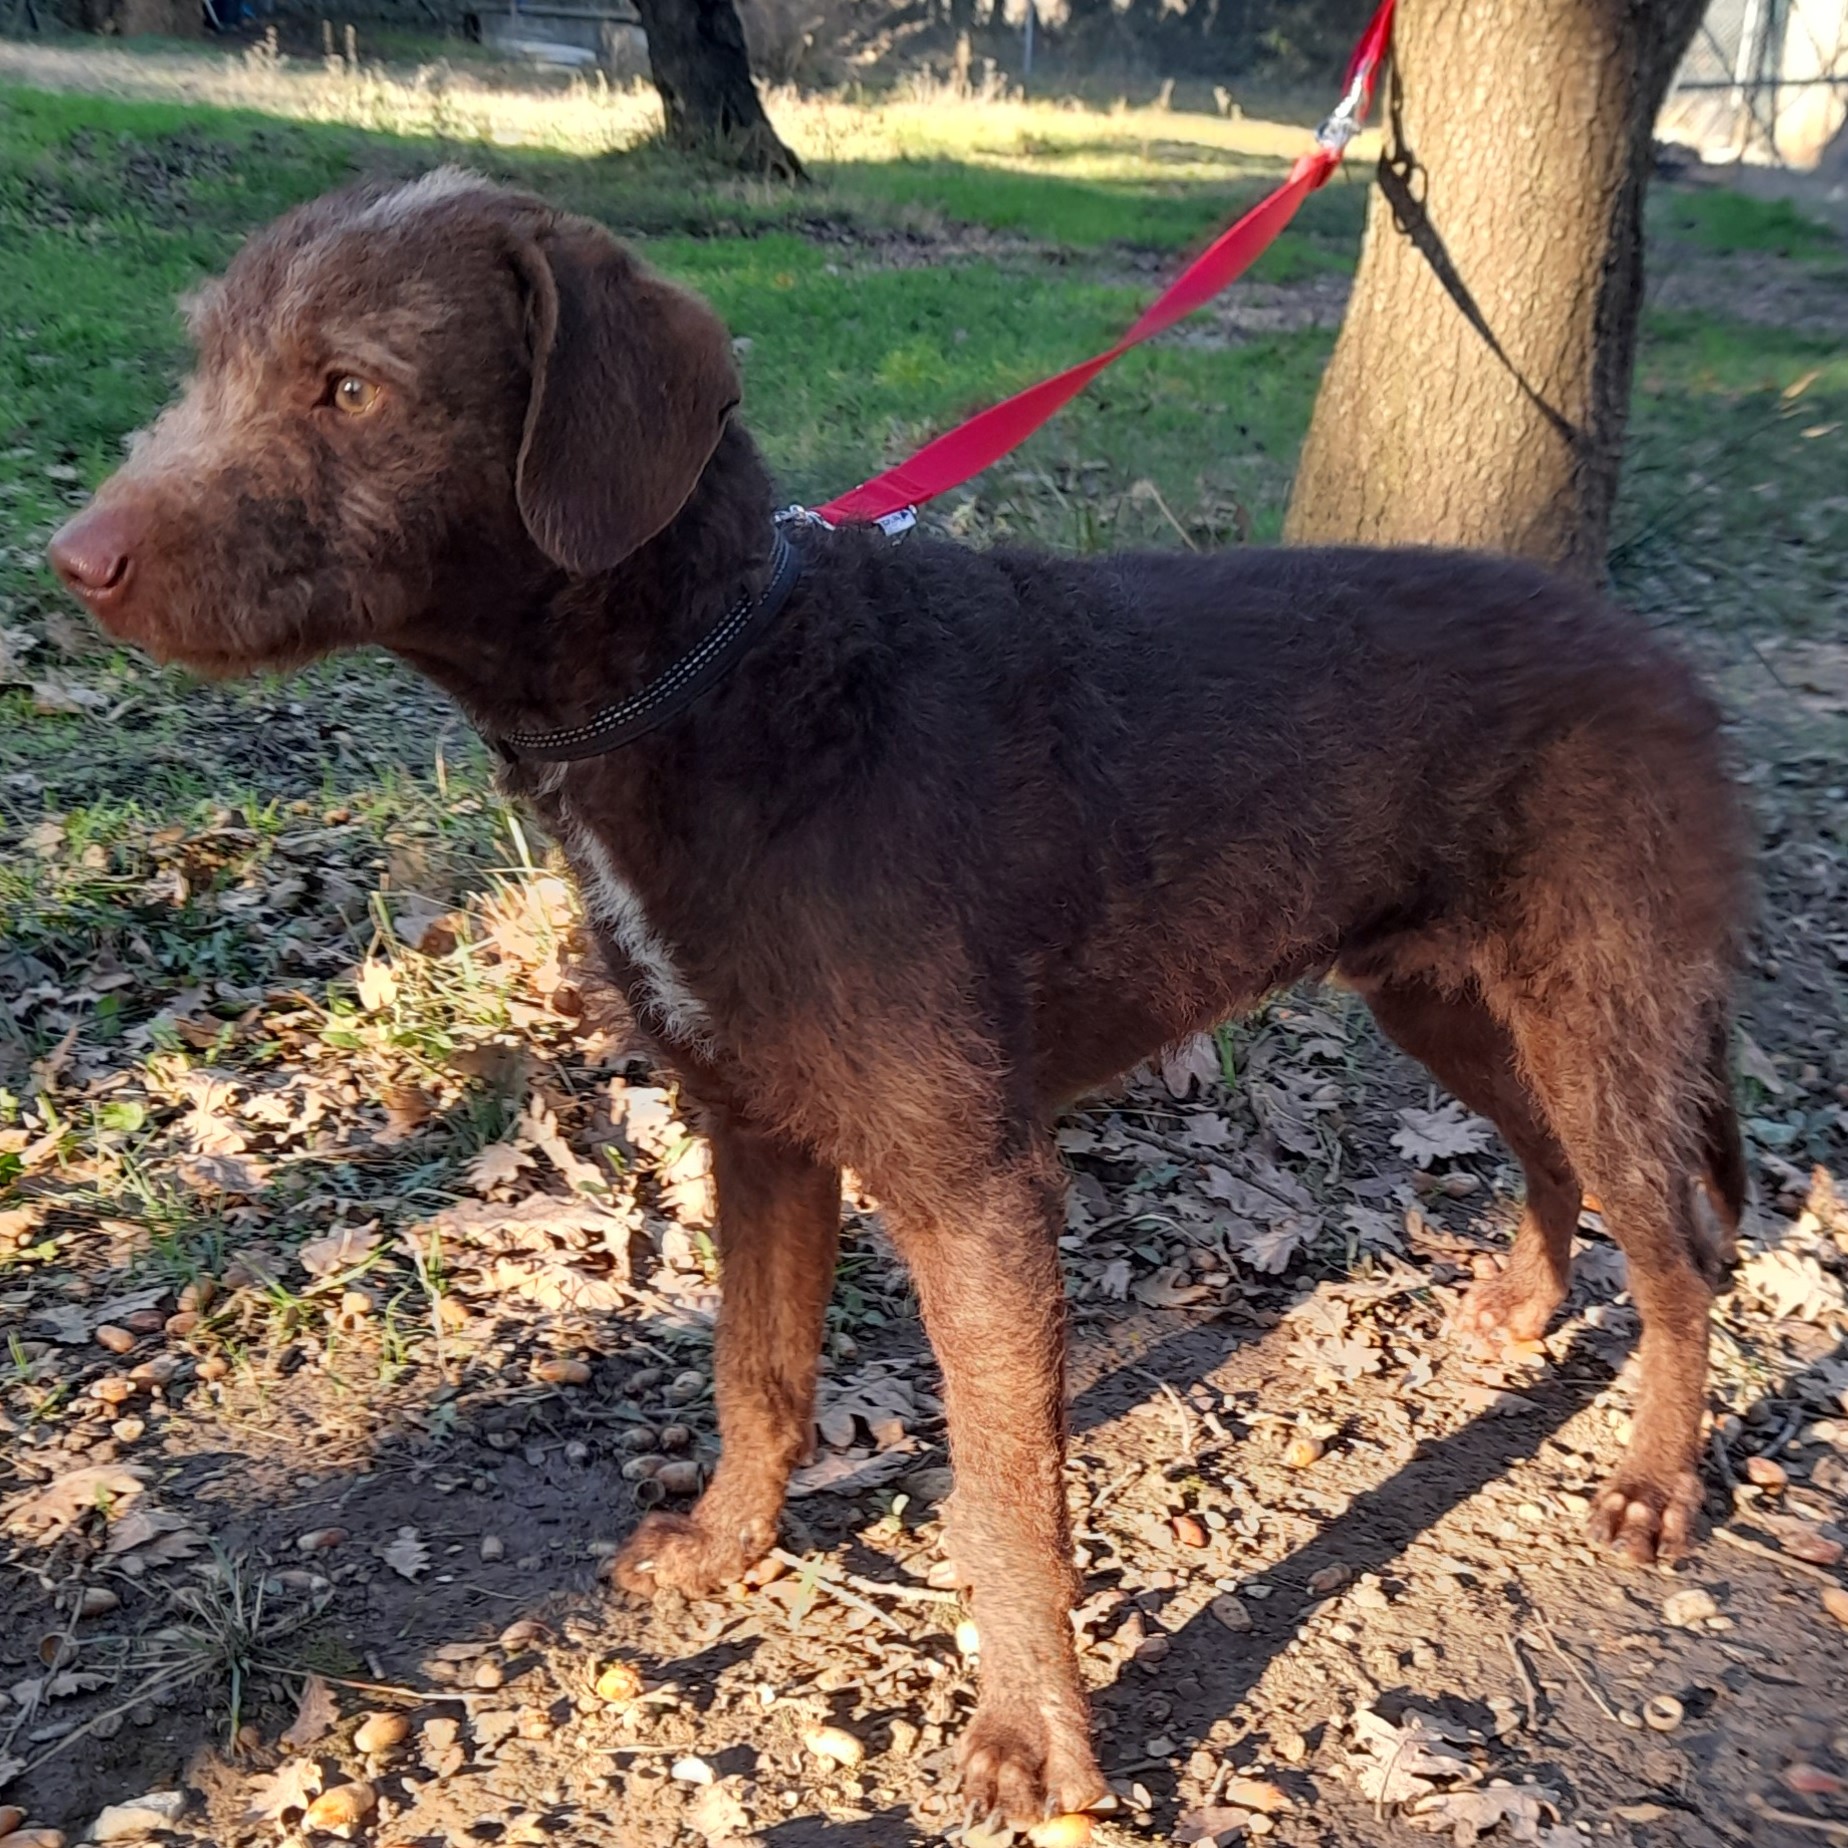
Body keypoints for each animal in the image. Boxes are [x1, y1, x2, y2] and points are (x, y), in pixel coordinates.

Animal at [43, 176, 1744, 1833]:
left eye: (351, 388)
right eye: (203, 362)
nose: (73, 559)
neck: (729, 681)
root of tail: (1666, 661)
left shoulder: (973, 1184)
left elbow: (1003, 1495)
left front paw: (1036, 1742)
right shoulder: (756, 1131)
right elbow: (757, 1374)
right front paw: (728, 1545)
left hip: (1598, 1011)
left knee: (1679, 1254)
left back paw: (1658, 1480)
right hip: (1447, 999)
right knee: (1553, 1158)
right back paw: (1524, 1303)